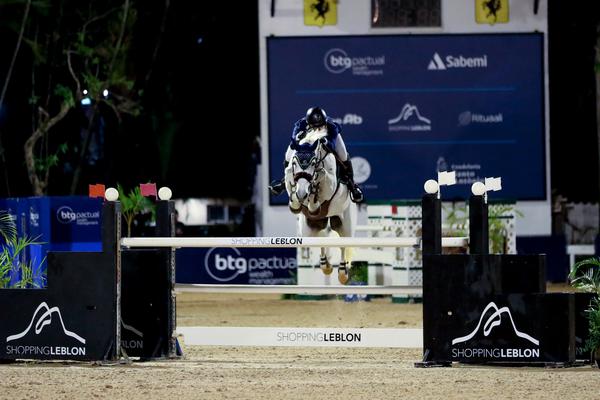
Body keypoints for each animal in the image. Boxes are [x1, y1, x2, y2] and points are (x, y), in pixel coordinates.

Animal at [284, 128, 355, 284]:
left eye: (313, 162)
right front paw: (298, 201)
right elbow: (290, 180)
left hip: (344, 223)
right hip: (308, 228)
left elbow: (324, 177)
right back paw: (325, 266)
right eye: (295, 163)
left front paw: (318, 181)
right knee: (319, 240)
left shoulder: (331, 185)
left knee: (343, 245)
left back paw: (342, 273)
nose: (302, 193)